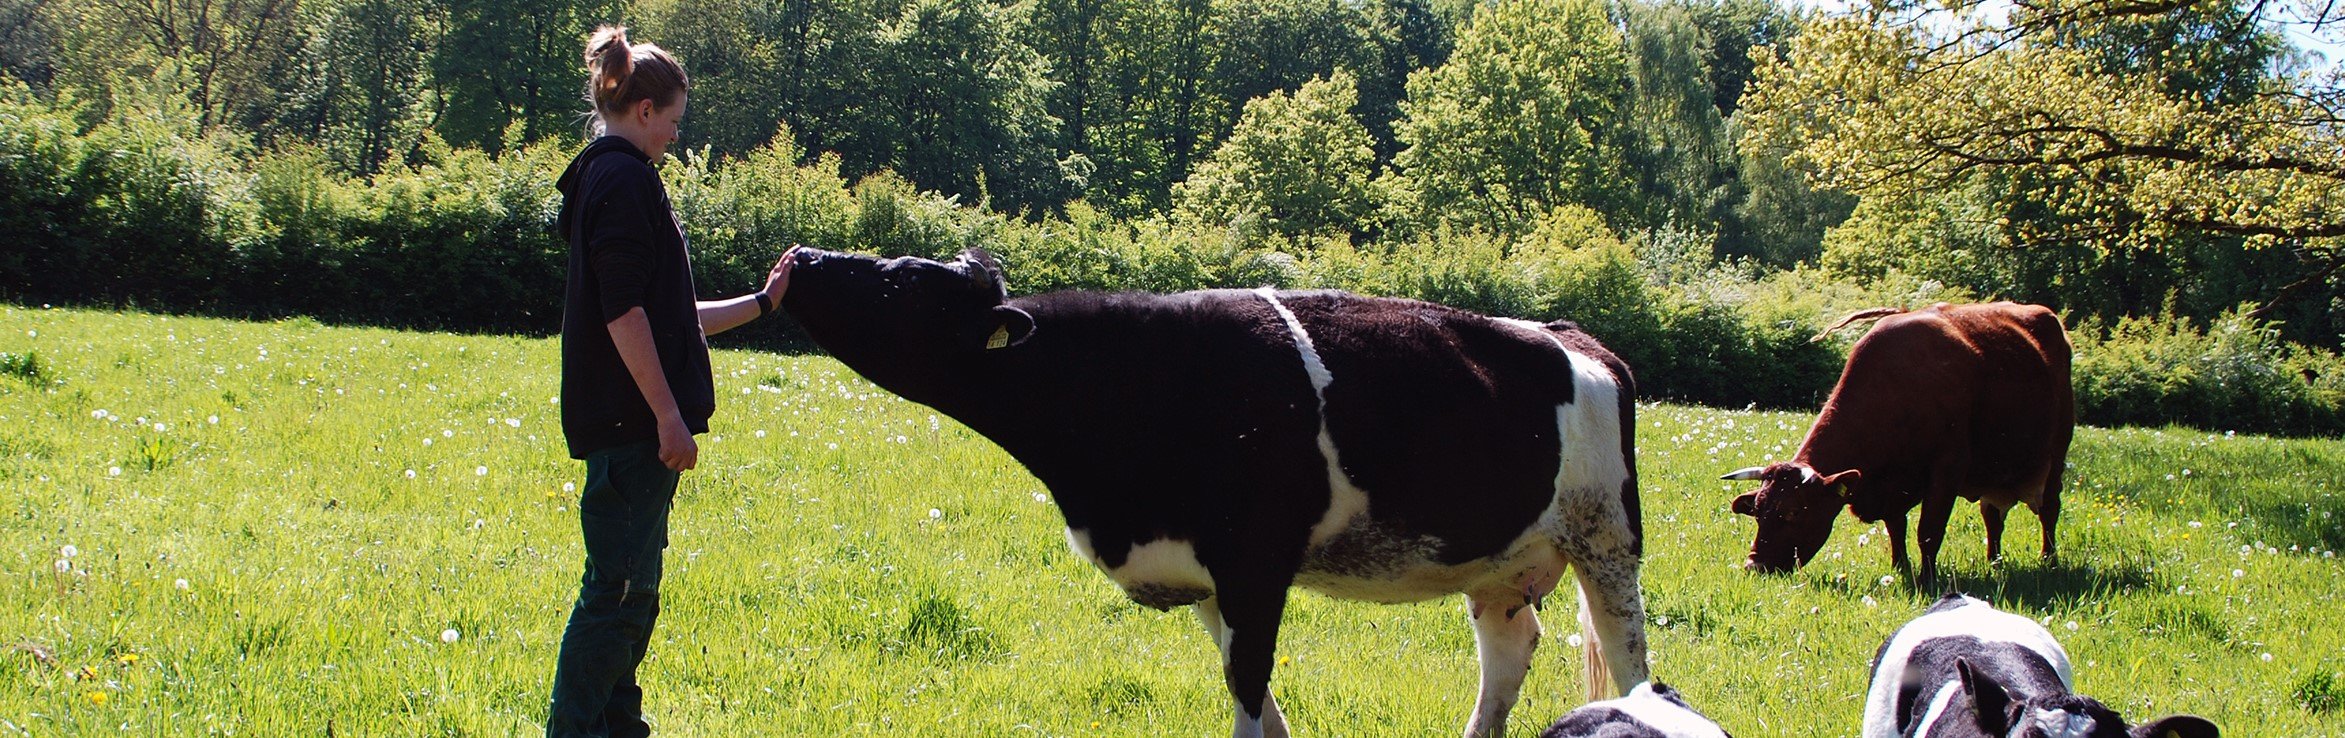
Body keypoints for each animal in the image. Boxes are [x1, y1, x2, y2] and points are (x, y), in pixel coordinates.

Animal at [783, 250, 1650, 738]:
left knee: (1628, 661)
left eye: (901, 279)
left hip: (1607, 539)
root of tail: (1572, 336)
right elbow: (1259, 703)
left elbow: (1246, 689)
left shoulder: (1254, 563)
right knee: (1507, 653)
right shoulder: (1200, 576)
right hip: (1500, 564)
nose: (801, 257)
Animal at [1725, 304, 2072, 588]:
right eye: (1757, 512)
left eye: (1794, 511)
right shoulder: (1891, 487)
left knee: (2049, 509)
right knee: (1992, 516)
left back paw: (2049, 560)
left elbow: (1929, 530)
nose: (1755, 566)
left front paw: (1927, 579)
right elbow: (1896, 527)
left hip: (2056, 452)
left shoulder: (1948, 468)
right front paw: (1899, 567)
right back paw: (1994, 561)